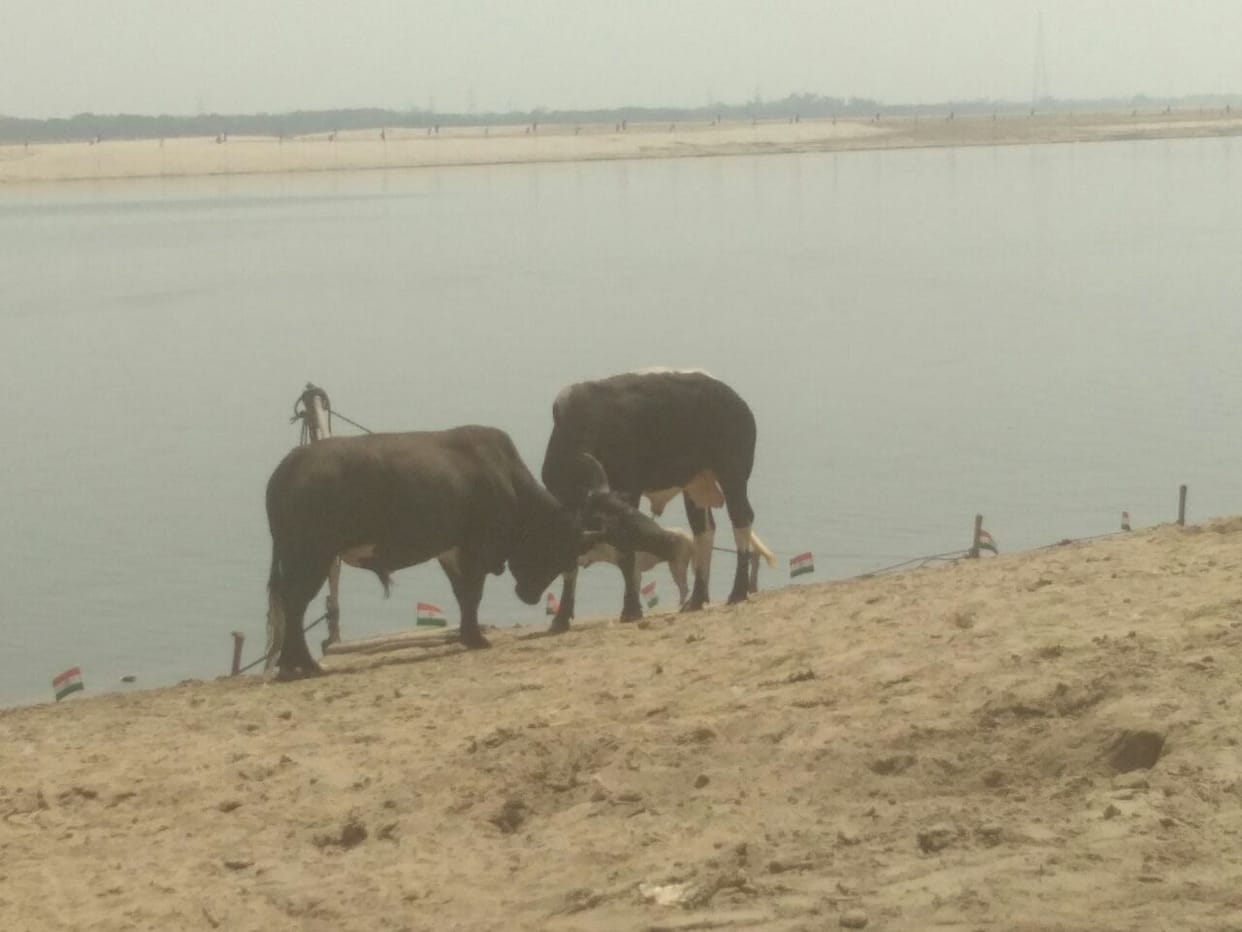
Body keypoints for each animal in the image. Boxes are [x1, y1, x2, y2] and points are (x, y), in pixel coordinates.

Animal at [263, 425, 663, 679]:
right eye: (557, 549)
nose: (529, 595)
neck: (506, 479)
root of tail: (287, 469)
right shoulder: (476, 549)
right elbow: (473, 592)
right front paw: (477, 638)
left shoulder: (452, 551)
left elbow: (463, 594)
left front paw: (469, 635)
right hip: (311, 557)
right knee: (295, 603)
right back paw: (302, 664)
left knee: (288, 602)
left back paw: (293, 663)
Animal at [541, 369, 773, 629]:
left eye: (626, 525)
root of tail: (736, 401)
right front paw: (560, 620)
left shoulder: (630, 491)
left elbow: (626, 557)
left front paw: (631, 610)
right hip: (695, 487)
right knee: (703, 531)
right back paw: (696, 599)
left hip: (733, 475)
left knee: (741, 520)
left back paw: (738, 592)